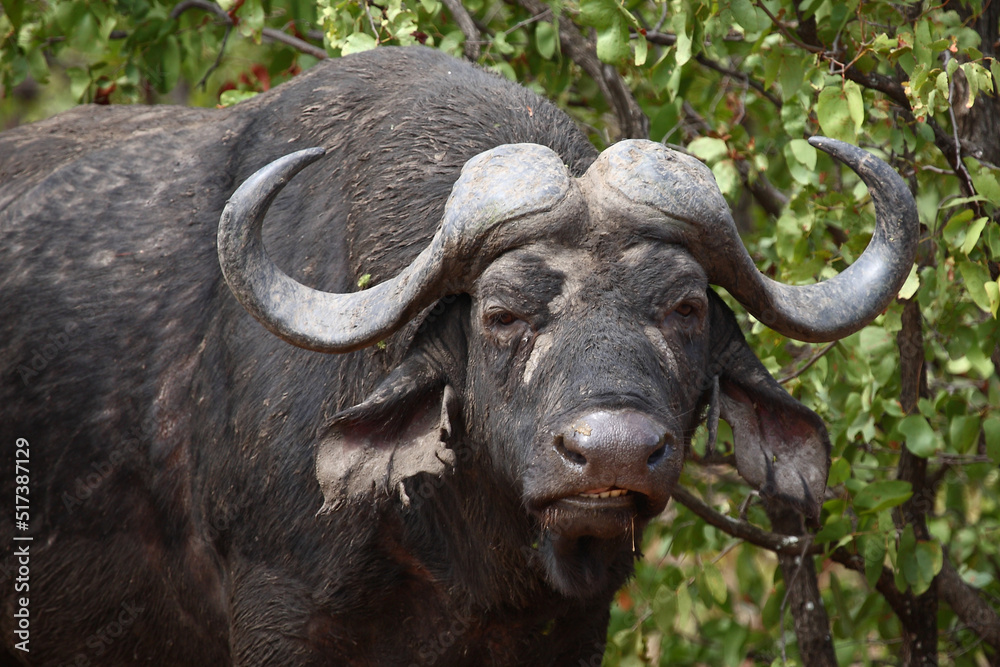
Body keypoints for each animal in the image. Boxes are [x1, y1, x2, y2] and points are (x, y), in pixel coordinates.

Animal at [1, 46, 916, 665]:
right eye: (502, 313)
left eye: (685, 308)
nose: (613, 453)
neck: (466, 550)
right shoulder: (278, 612)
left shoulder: (573, 631)